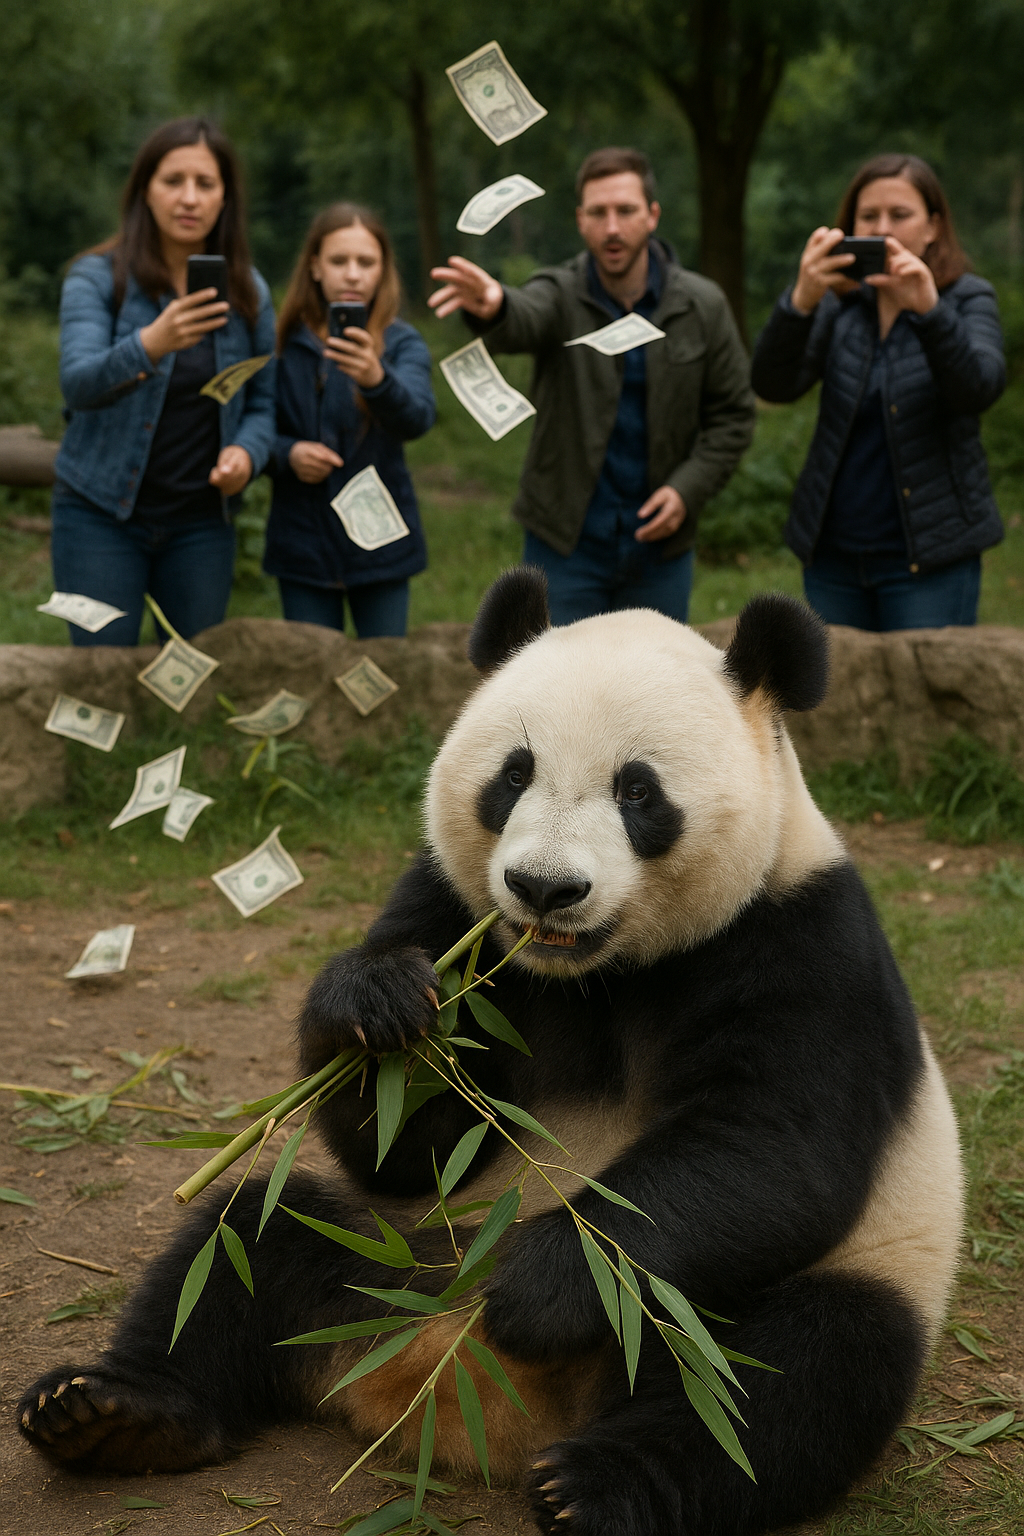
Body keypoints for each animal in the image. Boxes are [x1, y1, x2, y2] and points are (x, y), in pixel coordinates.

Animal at [18, 569, 963, 1536]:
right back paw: (112, 1412)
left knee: (784, 1376)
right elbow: (404, 1142)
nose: (545, 887)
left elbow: (771, 1149)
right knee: (243, 1244)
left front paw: (537, 1288)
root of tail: (465, 1384)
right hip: (393, 1248)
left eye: (639, 792)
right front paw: (376, 1008)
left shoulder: (800, 939)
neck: (592, 971)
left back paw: (591, 1484)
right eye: (514, 775)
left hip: (782, 1293)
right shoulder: (449, 911)